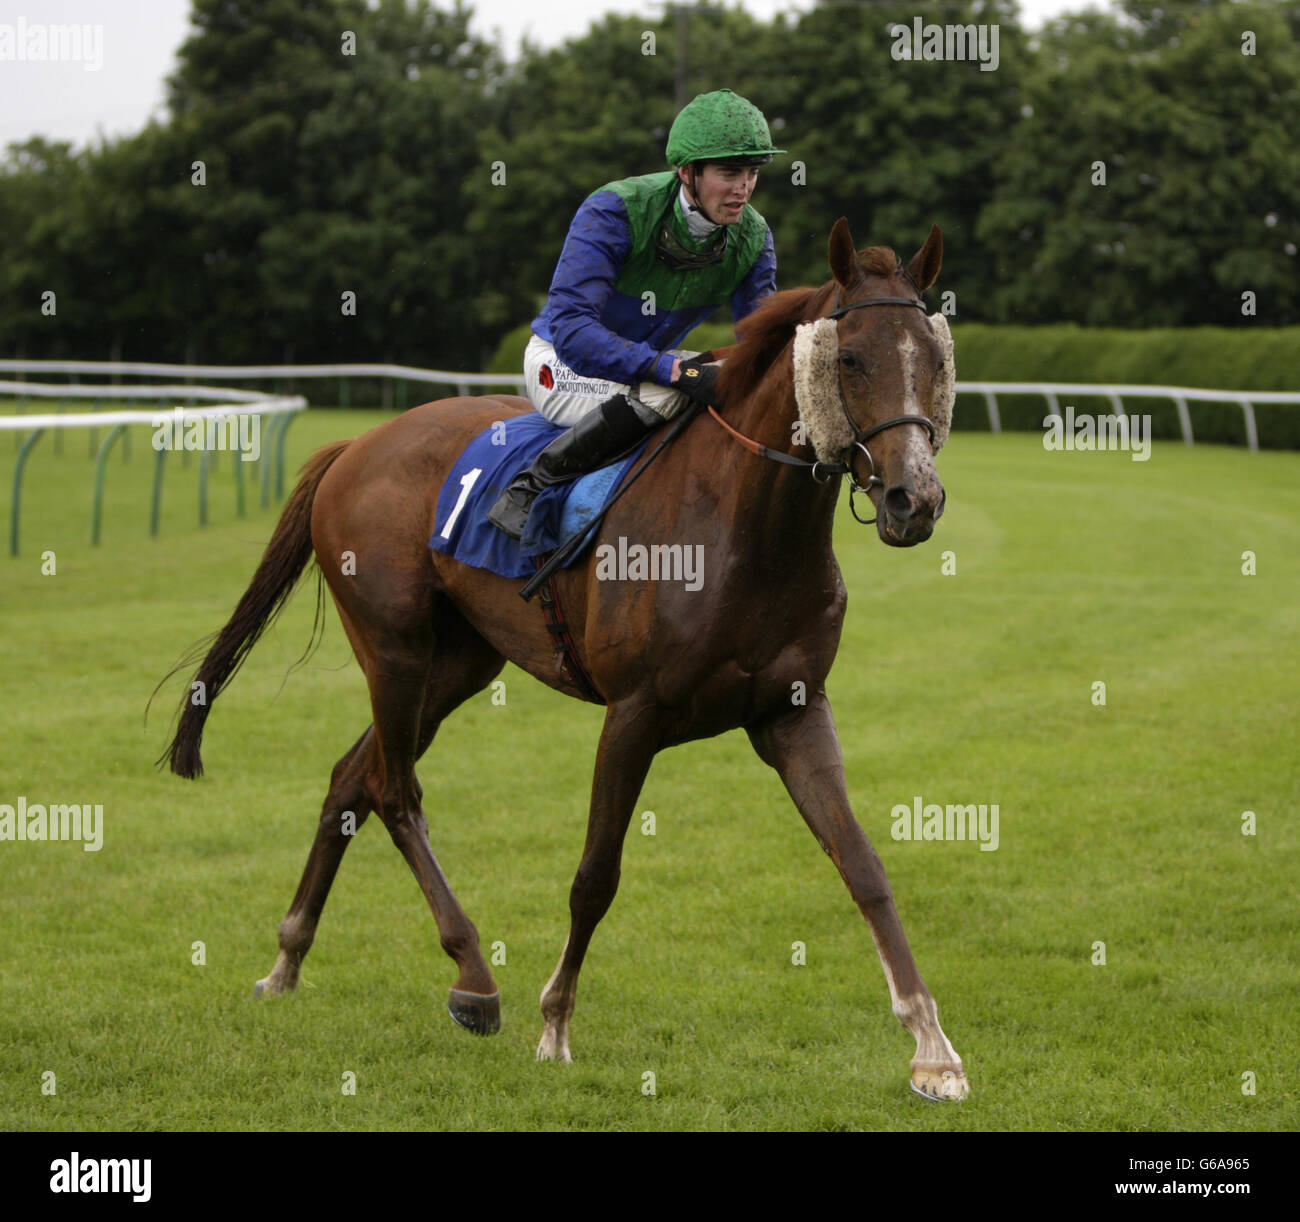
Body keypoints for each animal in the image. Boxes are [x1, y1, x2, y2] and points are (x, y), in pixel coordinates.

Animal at [162, 214, 972, 1102]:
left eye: (935, 359)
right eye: (850, 358)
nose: (914, 501)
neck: (746, 532)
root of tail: (355, 444)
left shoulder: (791, 711)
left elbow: (863, 865)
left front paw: (932, 1047)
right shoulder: (634, 714)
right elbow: (595, 877)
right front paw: (554, 1025)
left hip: (460, 662)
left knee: (352, 776)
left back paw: (288, 958)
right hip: (394, 648)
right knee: (394, 789)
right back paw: (474, 978)